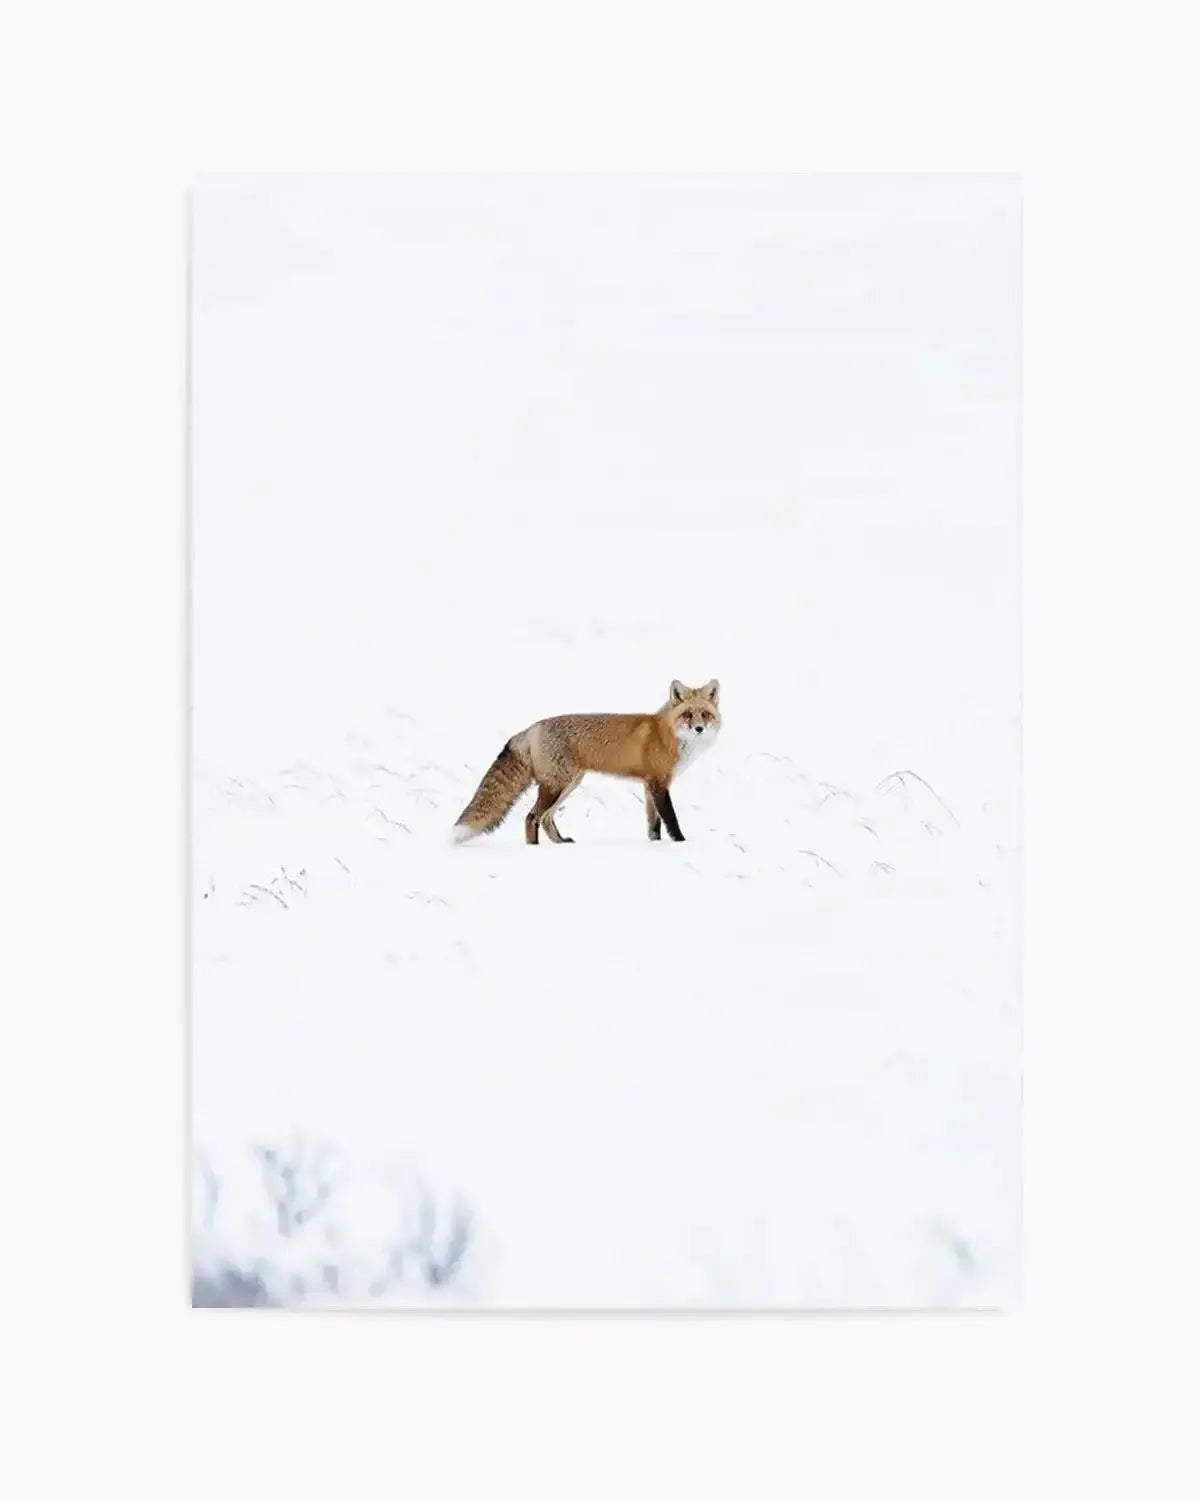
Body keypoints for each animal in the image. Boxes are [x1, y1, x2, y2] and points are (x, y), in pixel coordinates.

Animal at [452, 679, 721, 846]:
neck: (669, 735)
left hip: (568, 784)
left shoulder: (649, 786)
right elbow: (671, 819)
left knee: (545, 818)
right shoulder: (658, 784)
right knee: (531, 817)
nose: (698, 728)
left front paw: (657, 846)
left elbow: (653, 825)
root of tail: (532, 728)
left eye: (705, 715)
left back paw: (560, 843)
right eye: (688, 715)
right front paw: (680, 843)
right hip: (557, 785)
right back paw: (534, 849)